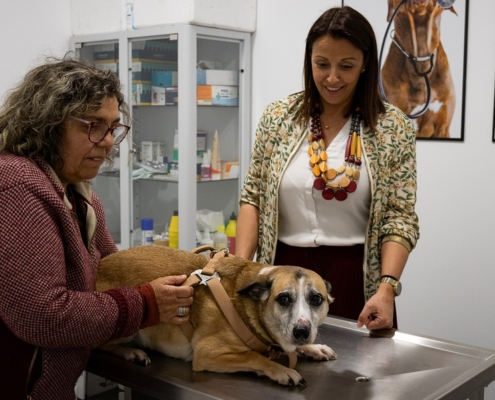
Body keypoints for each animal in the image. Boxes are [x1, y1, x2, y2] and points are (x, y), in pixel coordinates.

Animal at [95, 245, 340, 386]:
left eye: (316, 299)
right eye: (284, 298)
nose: (302, 332)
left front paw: (313, 348)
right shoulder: (208, 353)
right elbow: (254, 357)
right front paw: (282, 370)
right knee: (102, 346)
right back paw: (131, 352)